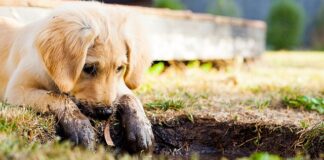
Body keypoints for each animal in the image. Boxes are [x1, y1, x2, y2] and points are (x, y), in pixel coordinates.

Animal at [0, 2, 154, 152]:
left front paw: (141, 127)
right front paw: (80, 126)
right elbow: (57, 97)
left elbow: (130, 96)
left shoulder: (117, 85)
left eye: (119, 68)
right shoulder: (16, 90)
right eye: (88, 68)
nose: (106, 113)